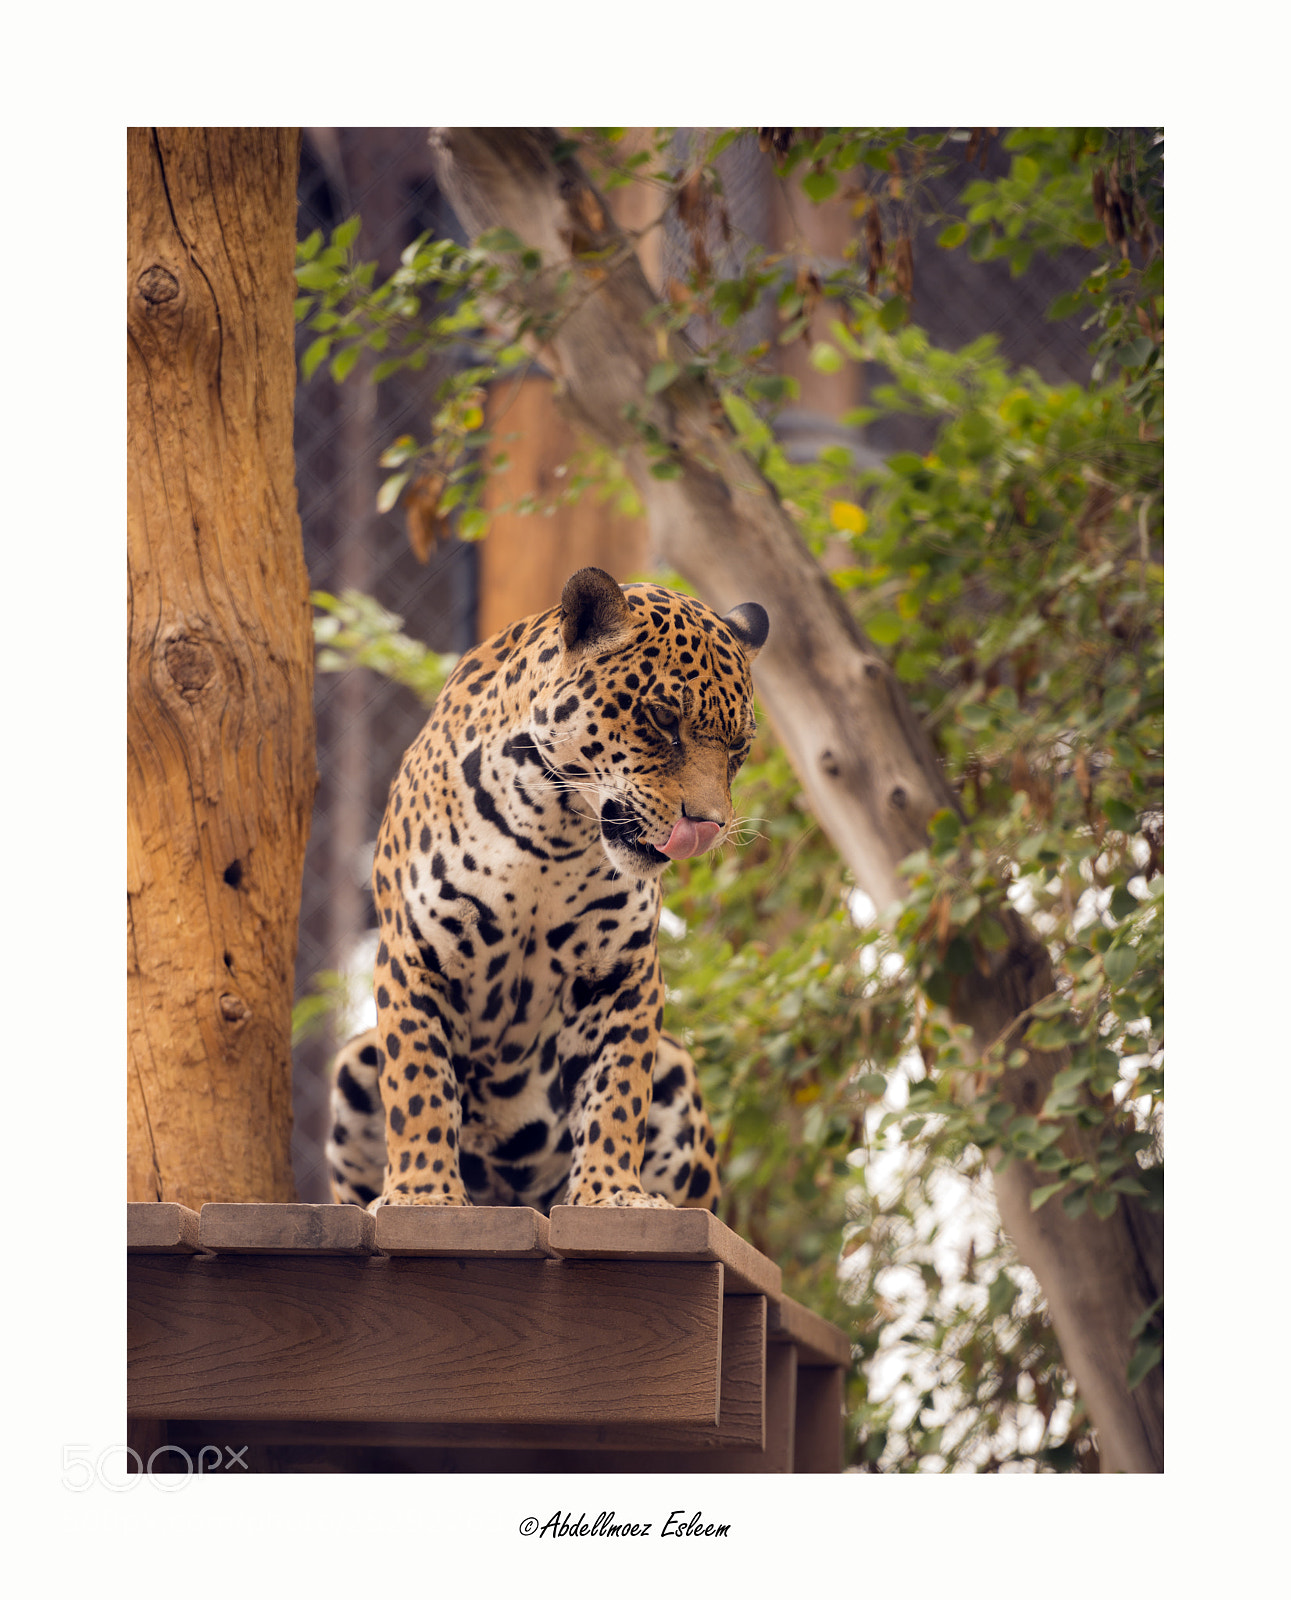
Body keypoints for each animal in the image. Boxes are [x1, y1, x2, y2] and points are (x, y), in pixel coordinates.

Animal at [326, 566, 768, 1215]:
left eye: (738, 747)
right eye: (663, 719)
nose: (708, 827)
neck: (551, 831)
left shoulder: (623, 971)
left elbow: (617, 1090)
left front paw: (611, 1192)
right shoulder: (414, 953)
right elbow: (418, 1083)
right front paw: (424, 1193)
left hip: (678, 1070)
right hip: (352, 1066)